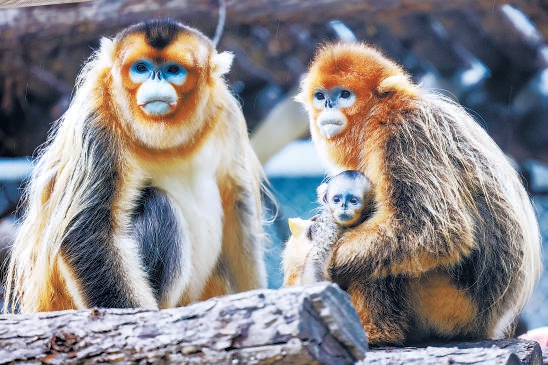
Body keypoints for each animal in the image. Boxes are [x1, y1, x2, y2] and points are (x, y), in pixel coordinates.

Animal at [3, 18, 268, 312]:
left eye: (173, 70)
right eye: (141, 68)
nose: (155, 81)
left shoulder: (226, 113)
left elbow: (238, 207)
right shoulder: (97, 120)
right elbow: (88, 232)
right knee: (158, 204)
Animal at [284, 42, 540, 344]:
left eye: (344, 95)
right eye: (321, 96)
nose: (328, 105)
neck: (377, 114)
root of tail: (489, 324)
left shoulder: (403, 133)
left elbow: (434, 231)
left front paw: (302, 256)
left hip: (449, 305)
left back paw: (375, 334)